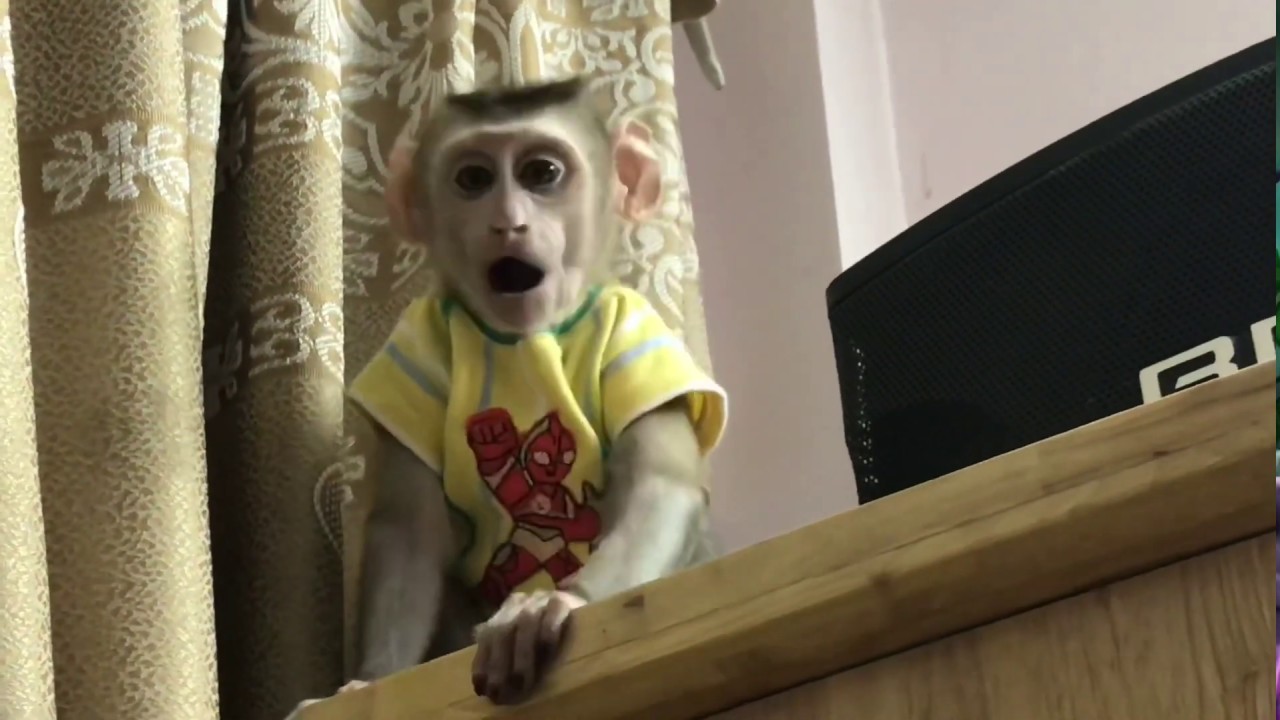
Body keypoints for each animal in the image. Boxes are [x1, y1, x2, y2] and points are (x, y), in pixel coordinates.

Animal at [333, 77, 728, 707]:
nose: (508, 222)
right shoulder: (412, 349)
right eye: (474, 179)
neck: (521, 337)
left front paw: (557, 603)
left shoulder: (637, 333)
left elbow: (662, 483)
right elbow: (409, 530)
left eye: (541, 173)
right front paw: (371, 681)